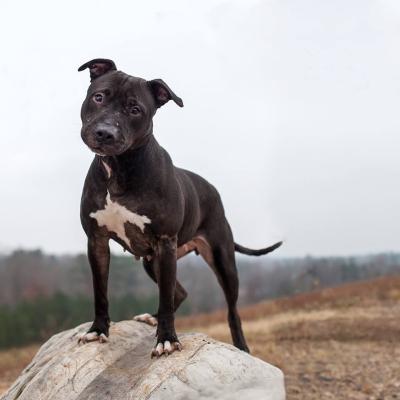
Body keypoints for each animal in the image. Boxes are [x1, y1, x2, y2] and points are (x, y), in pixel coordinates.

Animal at [77, 58, 282, 357]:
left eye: (135, 109)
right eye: (99, 97)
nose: (105, 133)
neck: (120, 168)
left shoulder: (165, 242)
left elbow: (164, 300)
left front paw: (166, 339)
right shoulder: (97, 241)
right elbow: (100, 293)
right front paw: (98, 330)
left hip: (221, 261)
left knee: (230, 310)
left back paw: (241, 346)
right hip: (153, 261)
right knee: (179, 292)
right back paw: (151, 317)